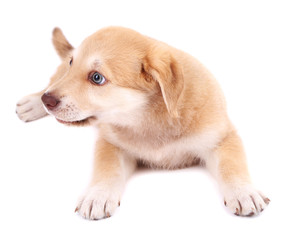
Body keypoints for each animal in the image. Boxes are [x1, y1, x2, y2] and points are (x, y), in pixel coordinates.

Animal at [16, 26, 270, 219]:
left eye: (97, 78)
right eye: (72, 64)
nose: (48, 101)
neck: (148, 117)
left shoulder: (222, 137)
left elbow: (231, 165)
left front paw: (244, 192)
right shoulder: (111, 144)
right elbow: (106, 169)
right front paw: (98, 195)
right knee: (51, 80)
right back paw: (32, 103)